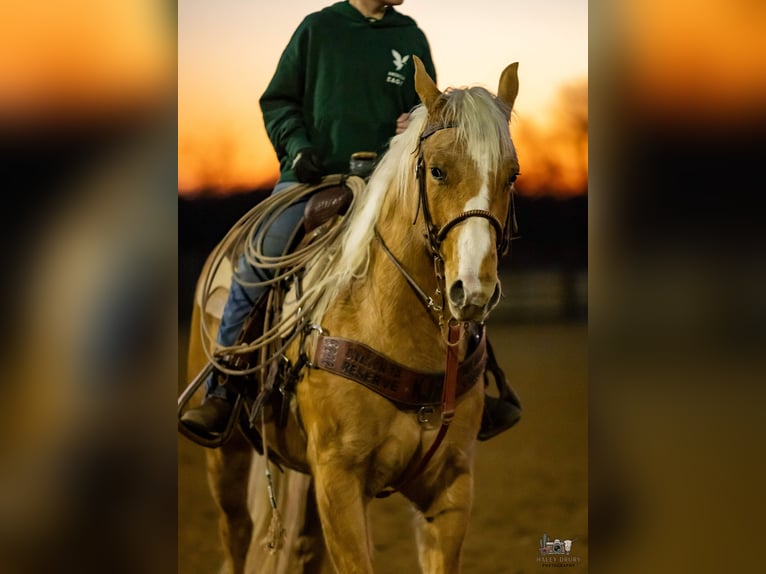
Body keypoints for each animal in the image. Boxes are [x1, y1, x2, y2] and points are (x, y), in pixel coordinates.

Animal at [180, 56, 521, 574]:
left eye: (512, 176)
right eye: (437, 170)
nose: (473, 291)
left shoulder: (451, 488)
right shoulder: (338, 481)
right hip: (228, 457)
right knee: (235, 535)